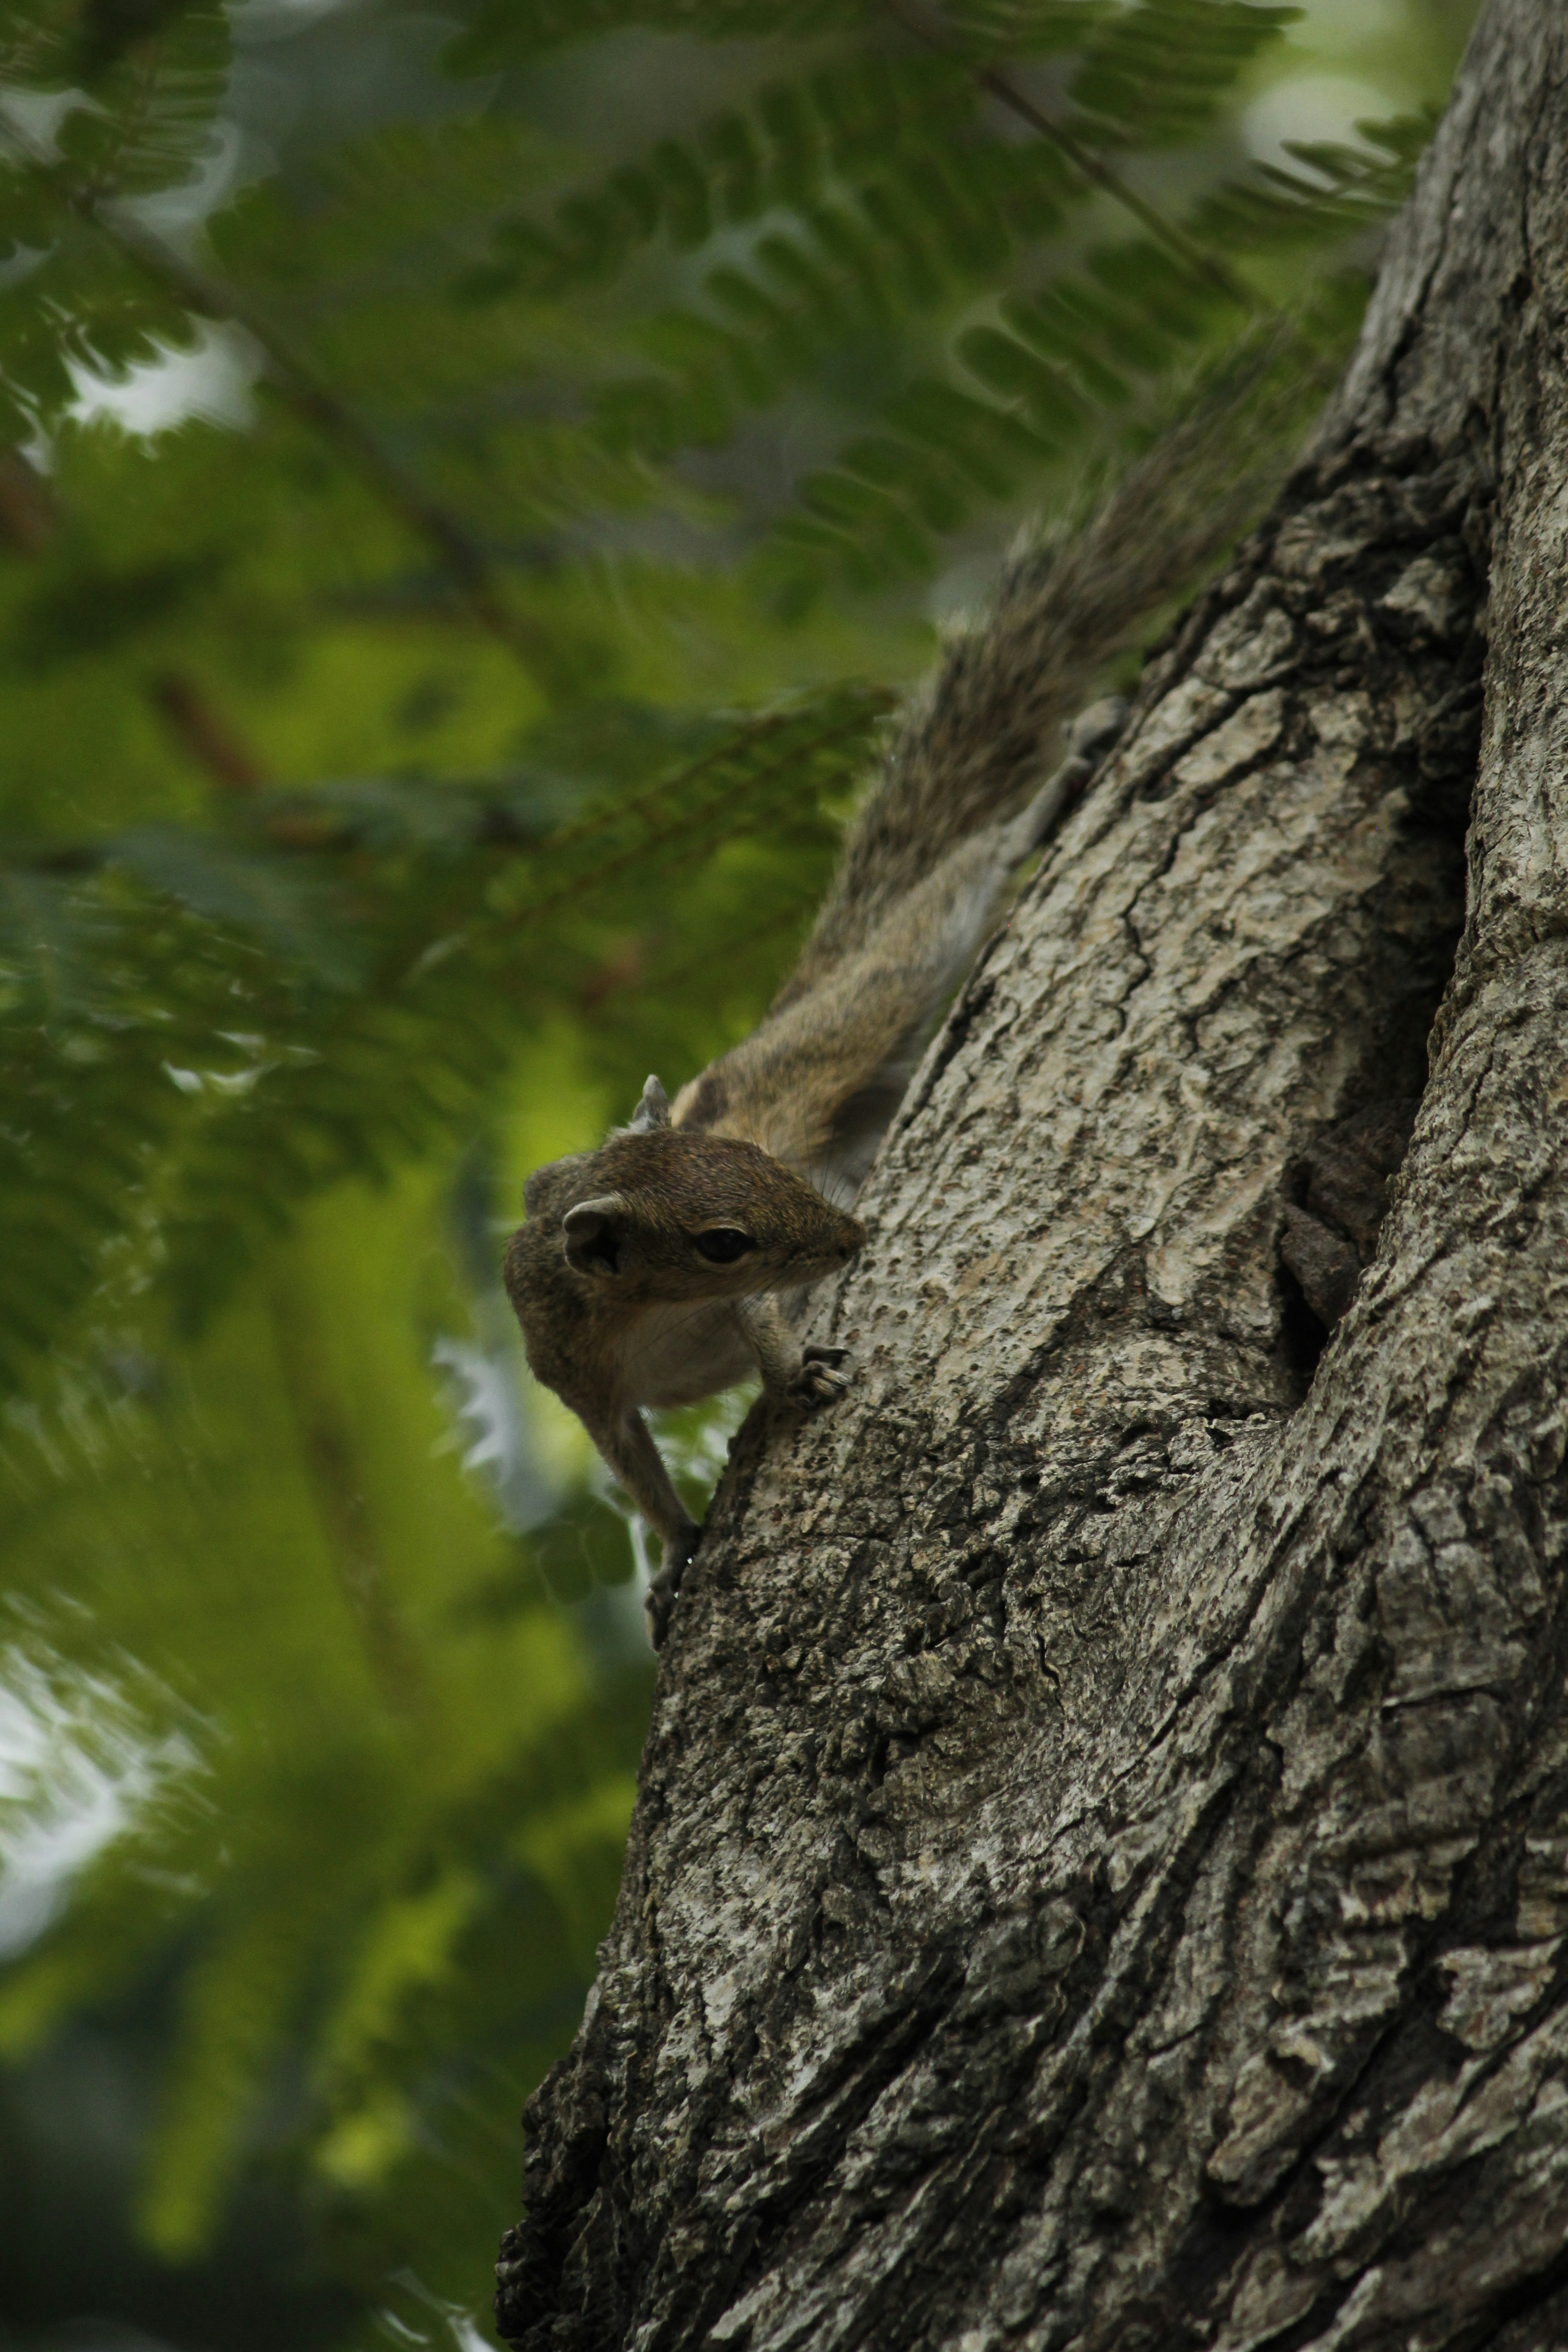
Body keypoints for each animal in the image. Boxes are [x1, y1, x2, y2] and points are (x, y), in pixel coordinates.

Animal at [504, 382, 1287, 1645]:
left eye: (757, 1163)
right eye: (718, 1238)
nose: (847, 1241)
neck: (644, 1312)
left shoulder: (738, 1306)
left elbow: (765, 1333)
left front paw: (795, 1380)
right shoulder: (578, 1373)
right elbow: (633, 1465)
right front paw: (674, 1554)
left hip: (874, 999)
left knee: (943, 900)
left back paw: (1055, 787)